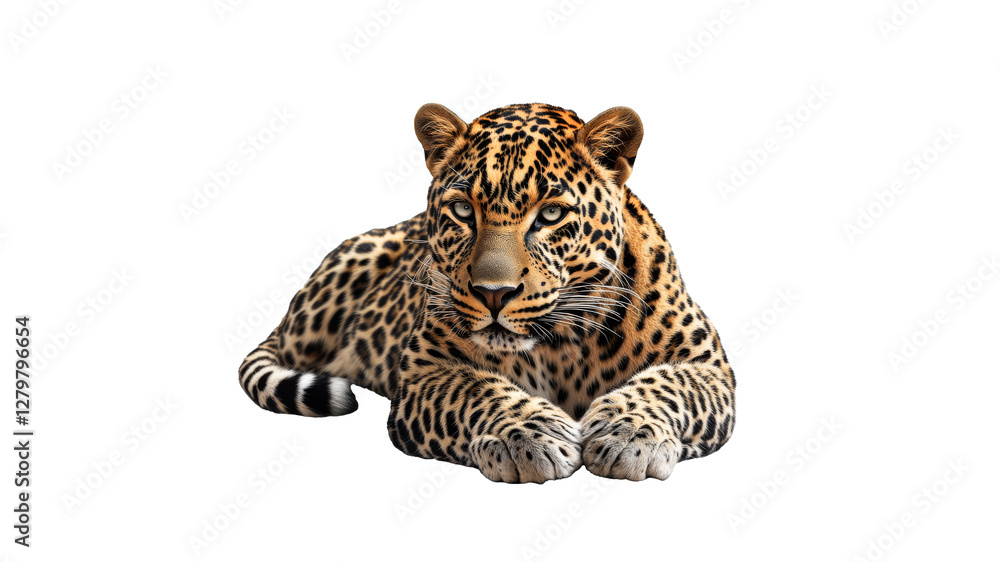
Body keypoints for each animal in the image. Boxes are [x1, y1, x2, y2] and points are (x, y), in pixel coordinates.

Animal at [238, 102, 736, 483]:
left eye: (551, 214)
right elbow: (475, 390)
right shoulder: (424, 371)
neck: (563, 345)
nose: (493, 293)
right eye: (462, 210)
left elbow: (668, 385)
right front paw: (529, 435)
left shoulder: (708, 366)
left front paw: (628, 435)